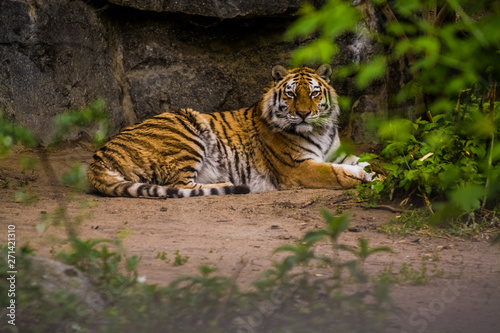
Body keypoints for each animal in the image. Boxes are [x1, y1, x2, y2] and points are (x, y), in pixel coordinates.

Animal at [88, 64, 374, 197]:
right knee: (179, 185)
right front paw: (362, 178)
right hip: (186, 129)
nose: (304, 113)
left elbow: (367, 160)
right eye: (291, 94)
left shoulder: (336, 153)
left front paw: (376, 173)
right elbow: (337, 174)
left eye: (314, 94)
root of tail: (99, 156)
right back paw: (227, 183)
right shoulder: (298, 167)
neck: (319, 130)